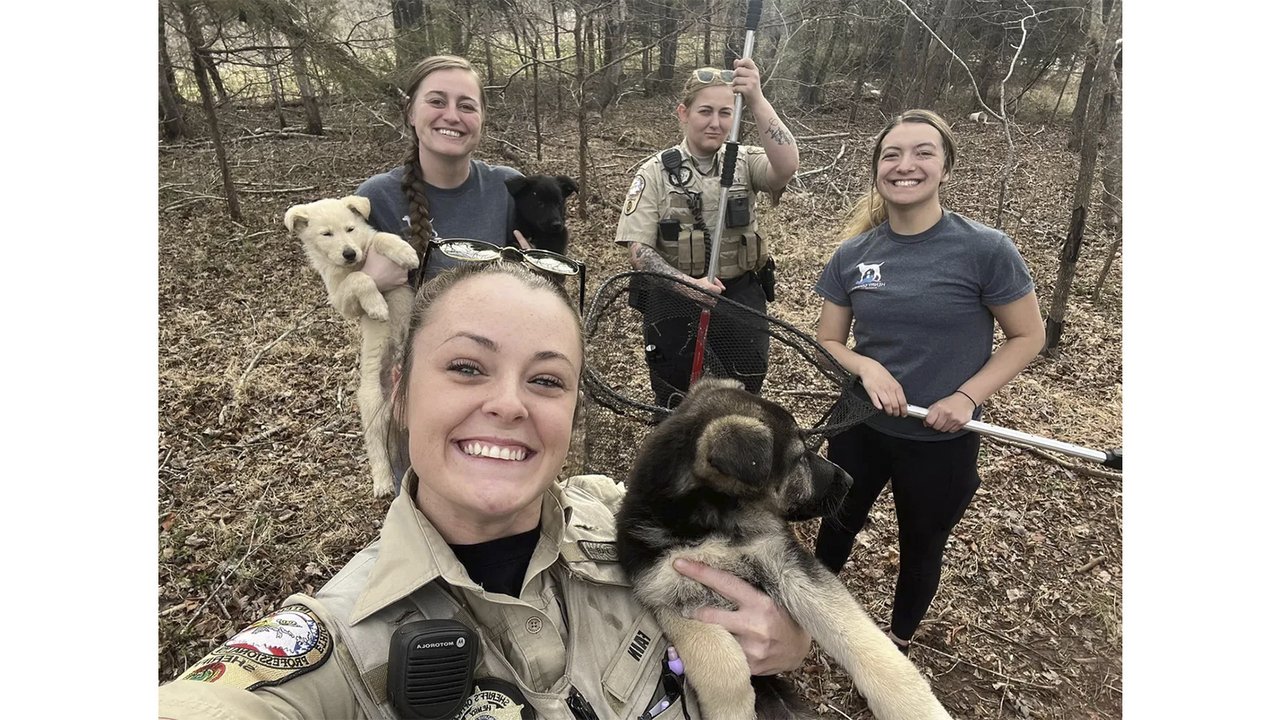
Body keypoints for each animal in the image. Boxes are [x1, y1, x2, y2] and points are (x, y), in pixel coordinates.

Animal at [282, 193, 417, 497]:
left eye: (350, 229)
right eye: (326, 234)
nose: (349, 253)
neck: (354, 263)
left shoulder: (369, 241)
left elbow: (381, 238)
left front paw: (405, 252)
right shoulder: (340, 299)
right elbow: (361, 279)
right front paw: (377, 306)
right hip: (372, 402)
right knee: (376, 446)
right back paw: (382, 482)